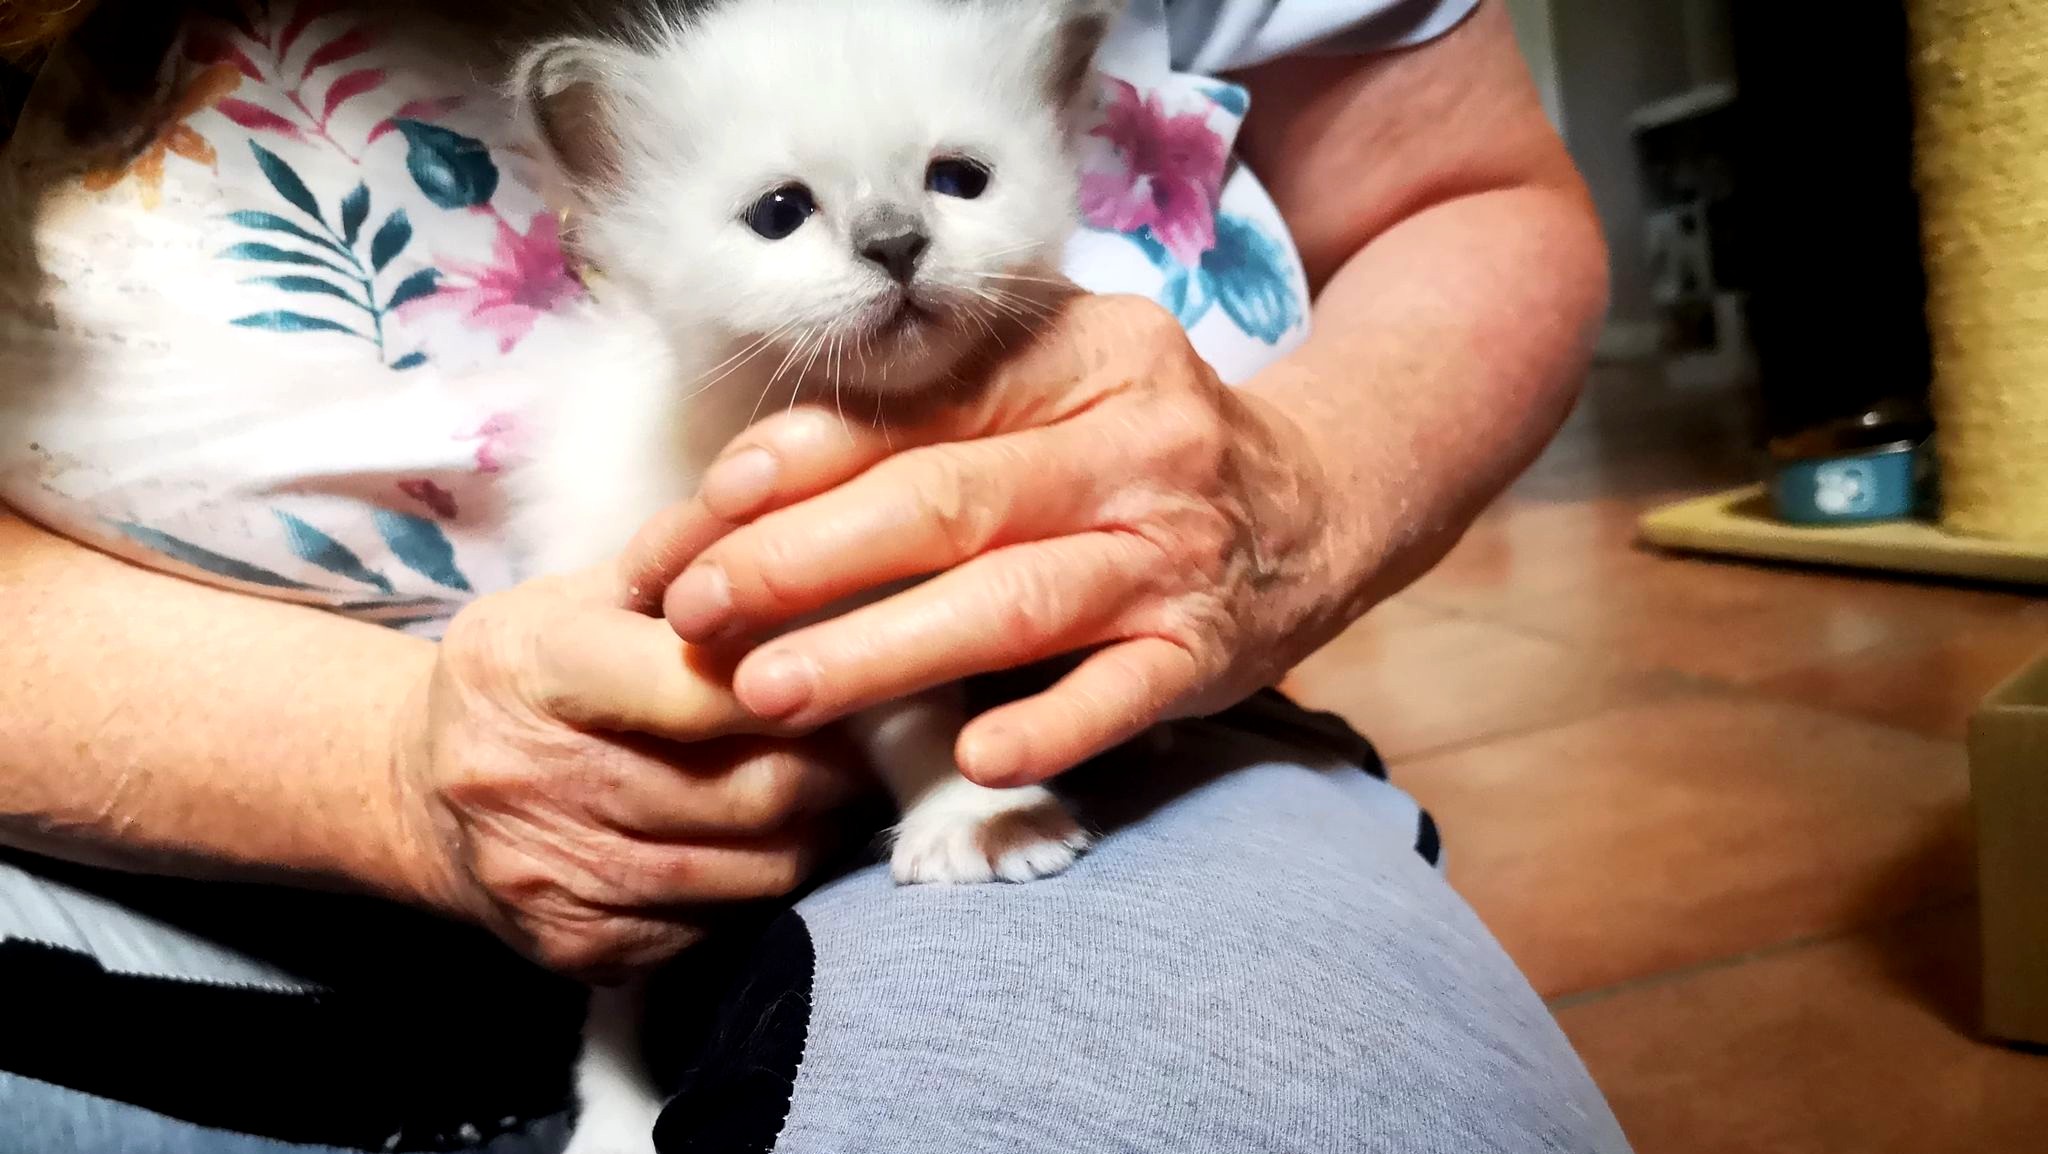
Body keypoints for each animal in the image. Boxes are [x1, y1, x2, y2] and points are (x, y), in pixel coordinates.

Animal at [506, 0, 1118, 1149]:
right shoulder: (796, 626)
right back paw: (615, 1115)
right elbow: (914, 713)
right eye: (780, 212)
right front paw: (976, 817)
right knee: (615, 994)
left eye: (958, 179)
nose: (897, 244)